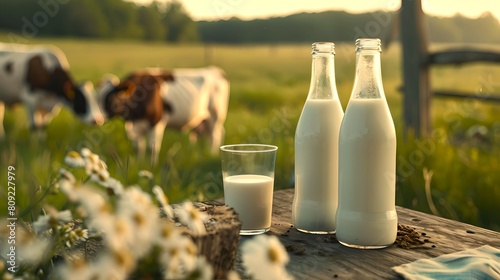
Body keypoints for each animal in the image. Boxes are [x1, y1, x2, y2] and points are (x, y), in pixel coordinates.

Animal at [98, 65, 231, 162]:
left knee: (215, 136)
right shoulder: (134, 126)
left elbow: (152, 148)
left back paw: (212, 154)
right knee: (212, 135)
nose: (97, 119)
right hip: (205, 120)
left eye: (110, 98)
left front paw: (151, 167)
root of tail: (214, 70)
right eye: (96, 96)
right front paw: (139, 164)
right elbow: (138, 148)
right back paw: (207, 153)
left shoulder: (157, 122)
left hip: (215, 115)